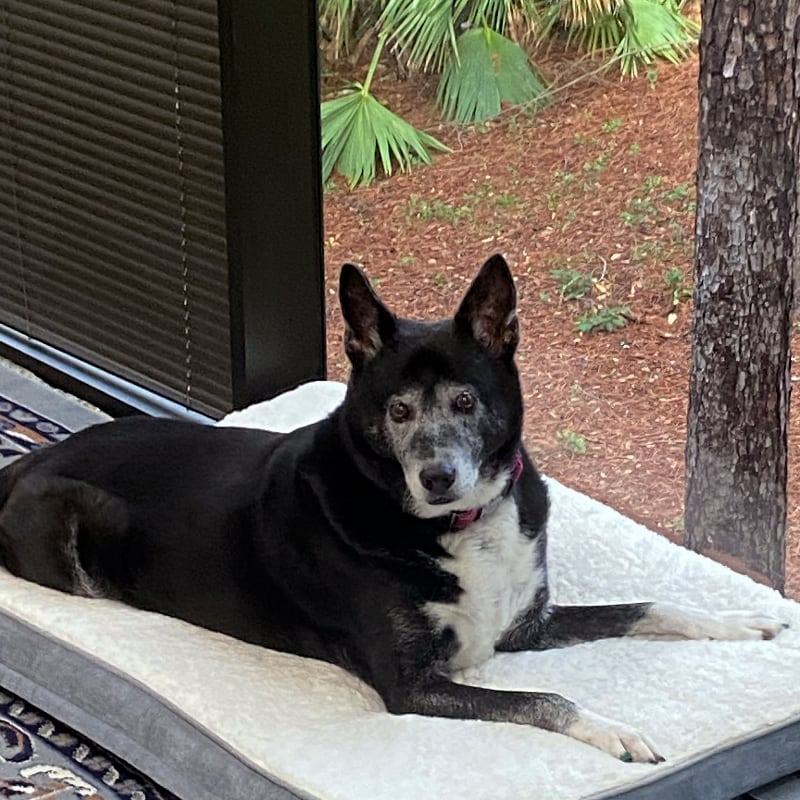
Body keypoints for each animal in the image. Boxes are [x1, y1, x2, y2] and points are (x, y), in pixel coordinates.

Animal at [0, 256, 780, 764]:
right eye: (398, 410)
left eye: (465, 400)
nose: (437, 477)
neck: (455, 526)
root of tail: (25, 461)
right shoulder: (413, 686)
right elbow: (546, 700)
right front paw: (614, 729)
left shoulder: (524, 626)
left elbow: (650, 606)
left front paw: (740, 621)